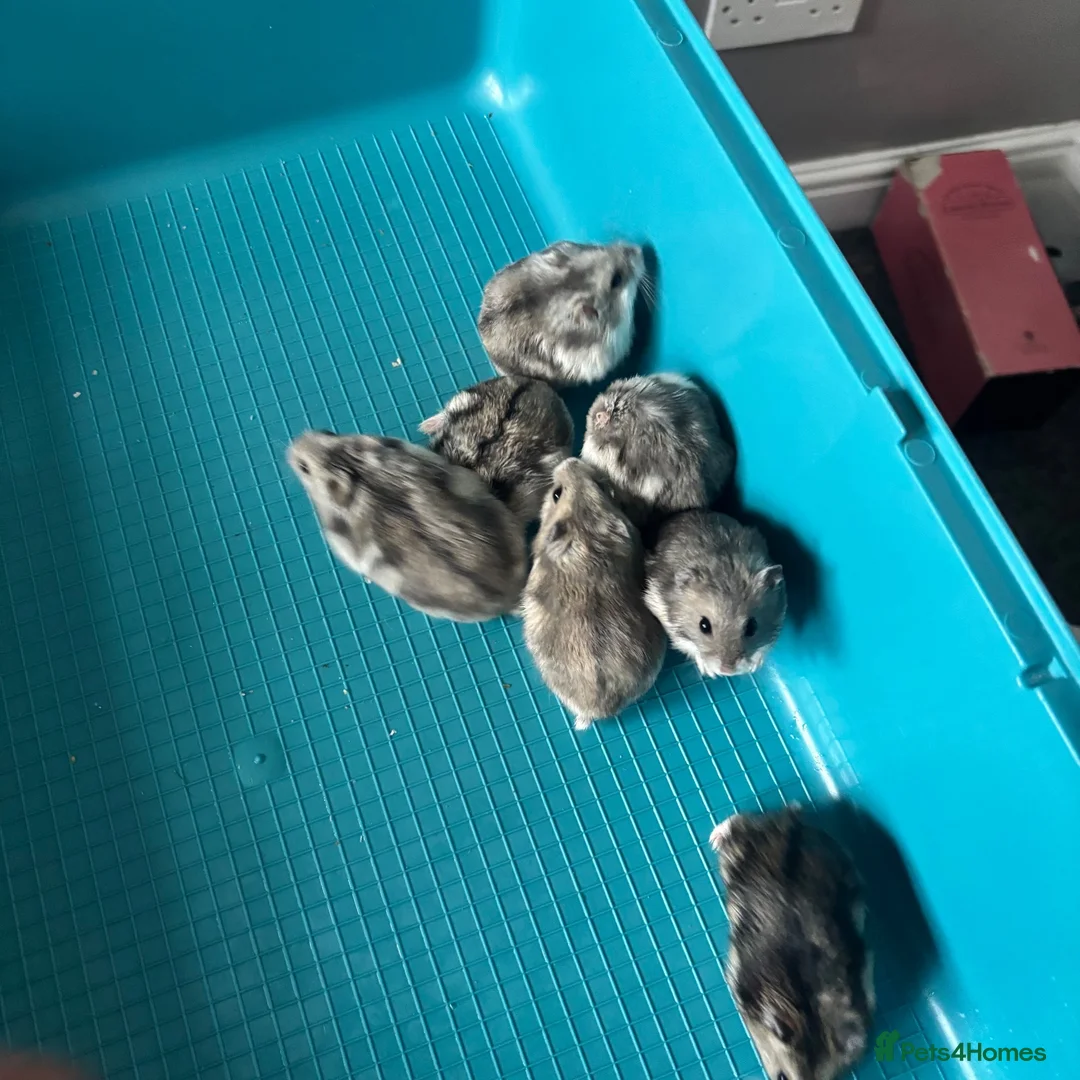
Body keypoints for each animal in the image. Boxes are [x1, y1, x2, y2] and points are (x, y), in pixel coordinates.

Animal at [645, 510, 785, 677]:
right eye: (703, 626)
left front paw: (754, 666)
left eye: (752, 627)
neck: (726, 573)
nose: (728, 672)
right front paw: (710, 673)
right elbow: (690, 646)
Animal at [710, 808, 873, 1080]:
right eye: (782, 1077)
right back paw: (715, 836)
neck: (809, 1009)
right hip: (737, 852)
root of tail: (788, 819)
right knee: (740, 824)